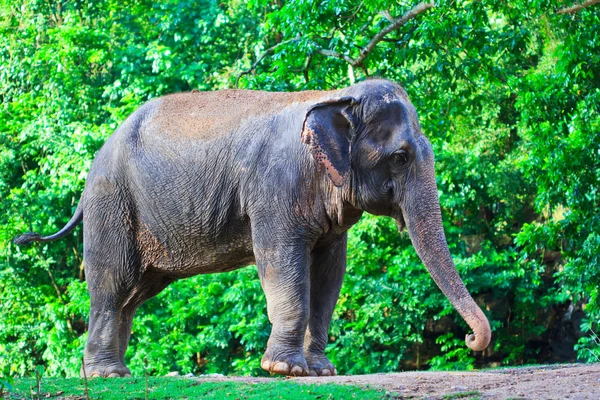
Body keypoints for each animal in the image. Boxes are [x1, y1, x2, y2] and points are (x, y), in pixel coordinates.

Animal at [14, 78, 490, 378]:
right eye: (401, 157)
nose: (470, 338)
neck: (335, 95)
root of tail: (92, 167)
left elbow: (330, 272)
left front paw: (321, 371)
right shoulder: (275, 190)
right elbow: (281, 261)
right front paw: (285, 370)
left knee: (134, 294)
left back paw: (115, 372)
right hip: (112, 205)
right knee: (113, 285)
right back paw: (108, 376)